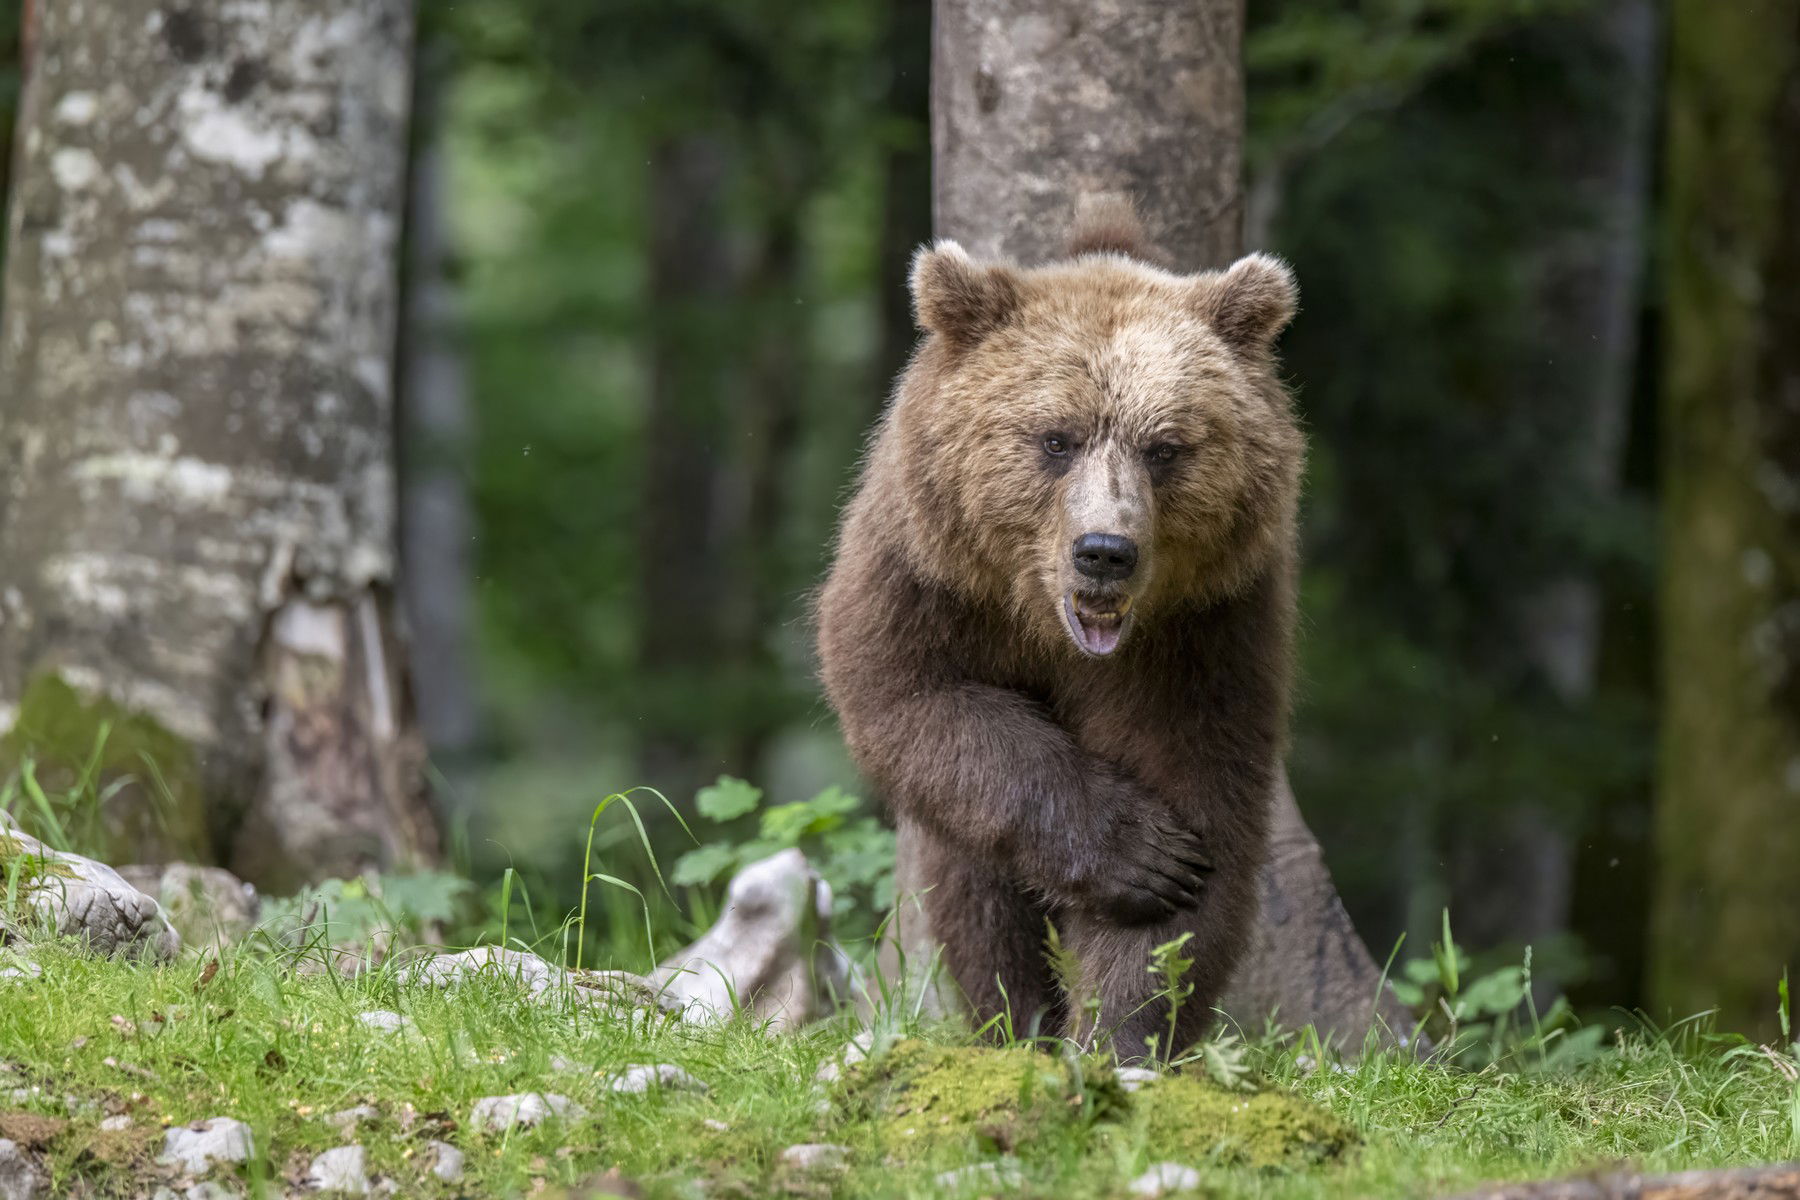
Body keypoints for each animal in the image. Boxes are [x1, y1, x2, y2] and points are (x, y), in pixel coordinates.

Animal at [820, 206, 1310, 1057]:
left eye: (1166, 446)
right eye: (1056, 437)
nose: (1105, 551)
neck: (1043, 623)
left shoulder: (1203, 634)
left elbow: (1197, 799)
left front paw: (1124, 1027)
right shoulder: (926, 578)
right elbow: (909, 696)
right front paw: (1143, 856)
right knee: (973, 884)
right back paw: (1012, 1018)